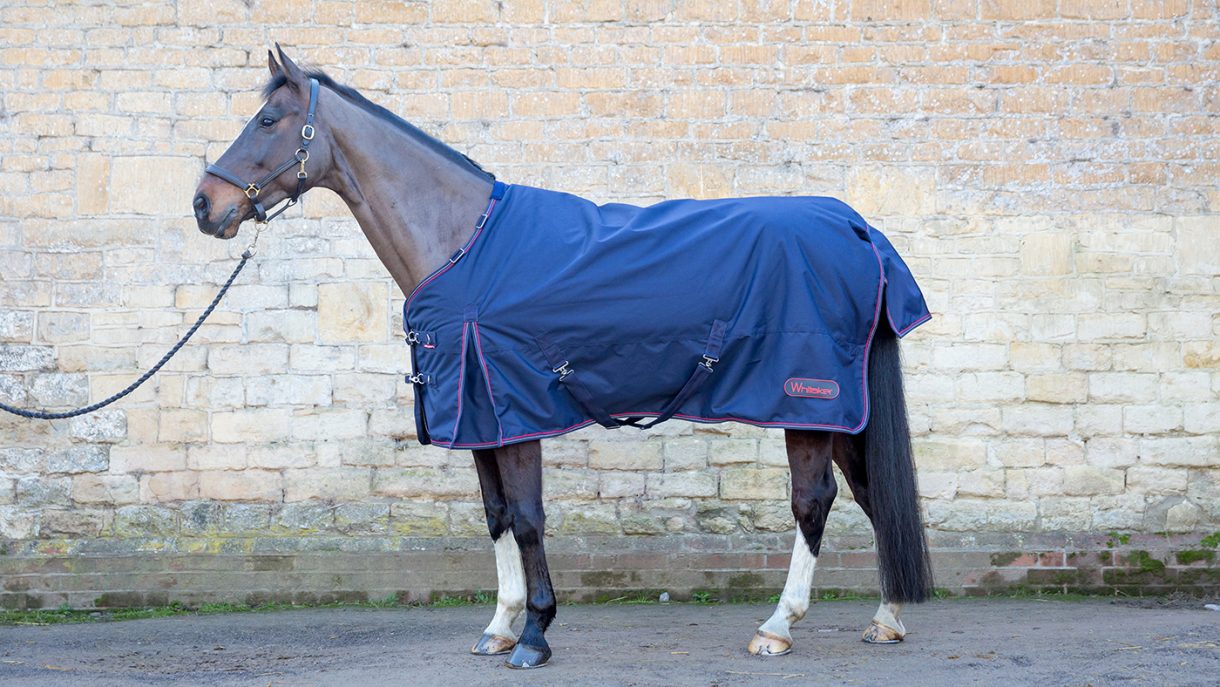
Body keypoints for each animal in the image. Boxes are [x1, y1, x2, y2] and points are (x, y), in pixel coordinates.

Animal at [193, 47, 933, 669]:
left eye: (267, 120)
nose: (205, 205)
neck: (463, 243)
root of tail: (856, 228)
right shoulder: (479, 418)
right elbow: (496, 518)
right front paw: (500, 626)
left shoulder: (514, 409)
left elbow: (526, 519)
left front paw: (536, 634)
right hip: (846, 411)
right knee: (874, 495)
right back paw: (887, 617)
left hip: (807, 403)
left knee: (814, 502)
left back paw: (779, 626)